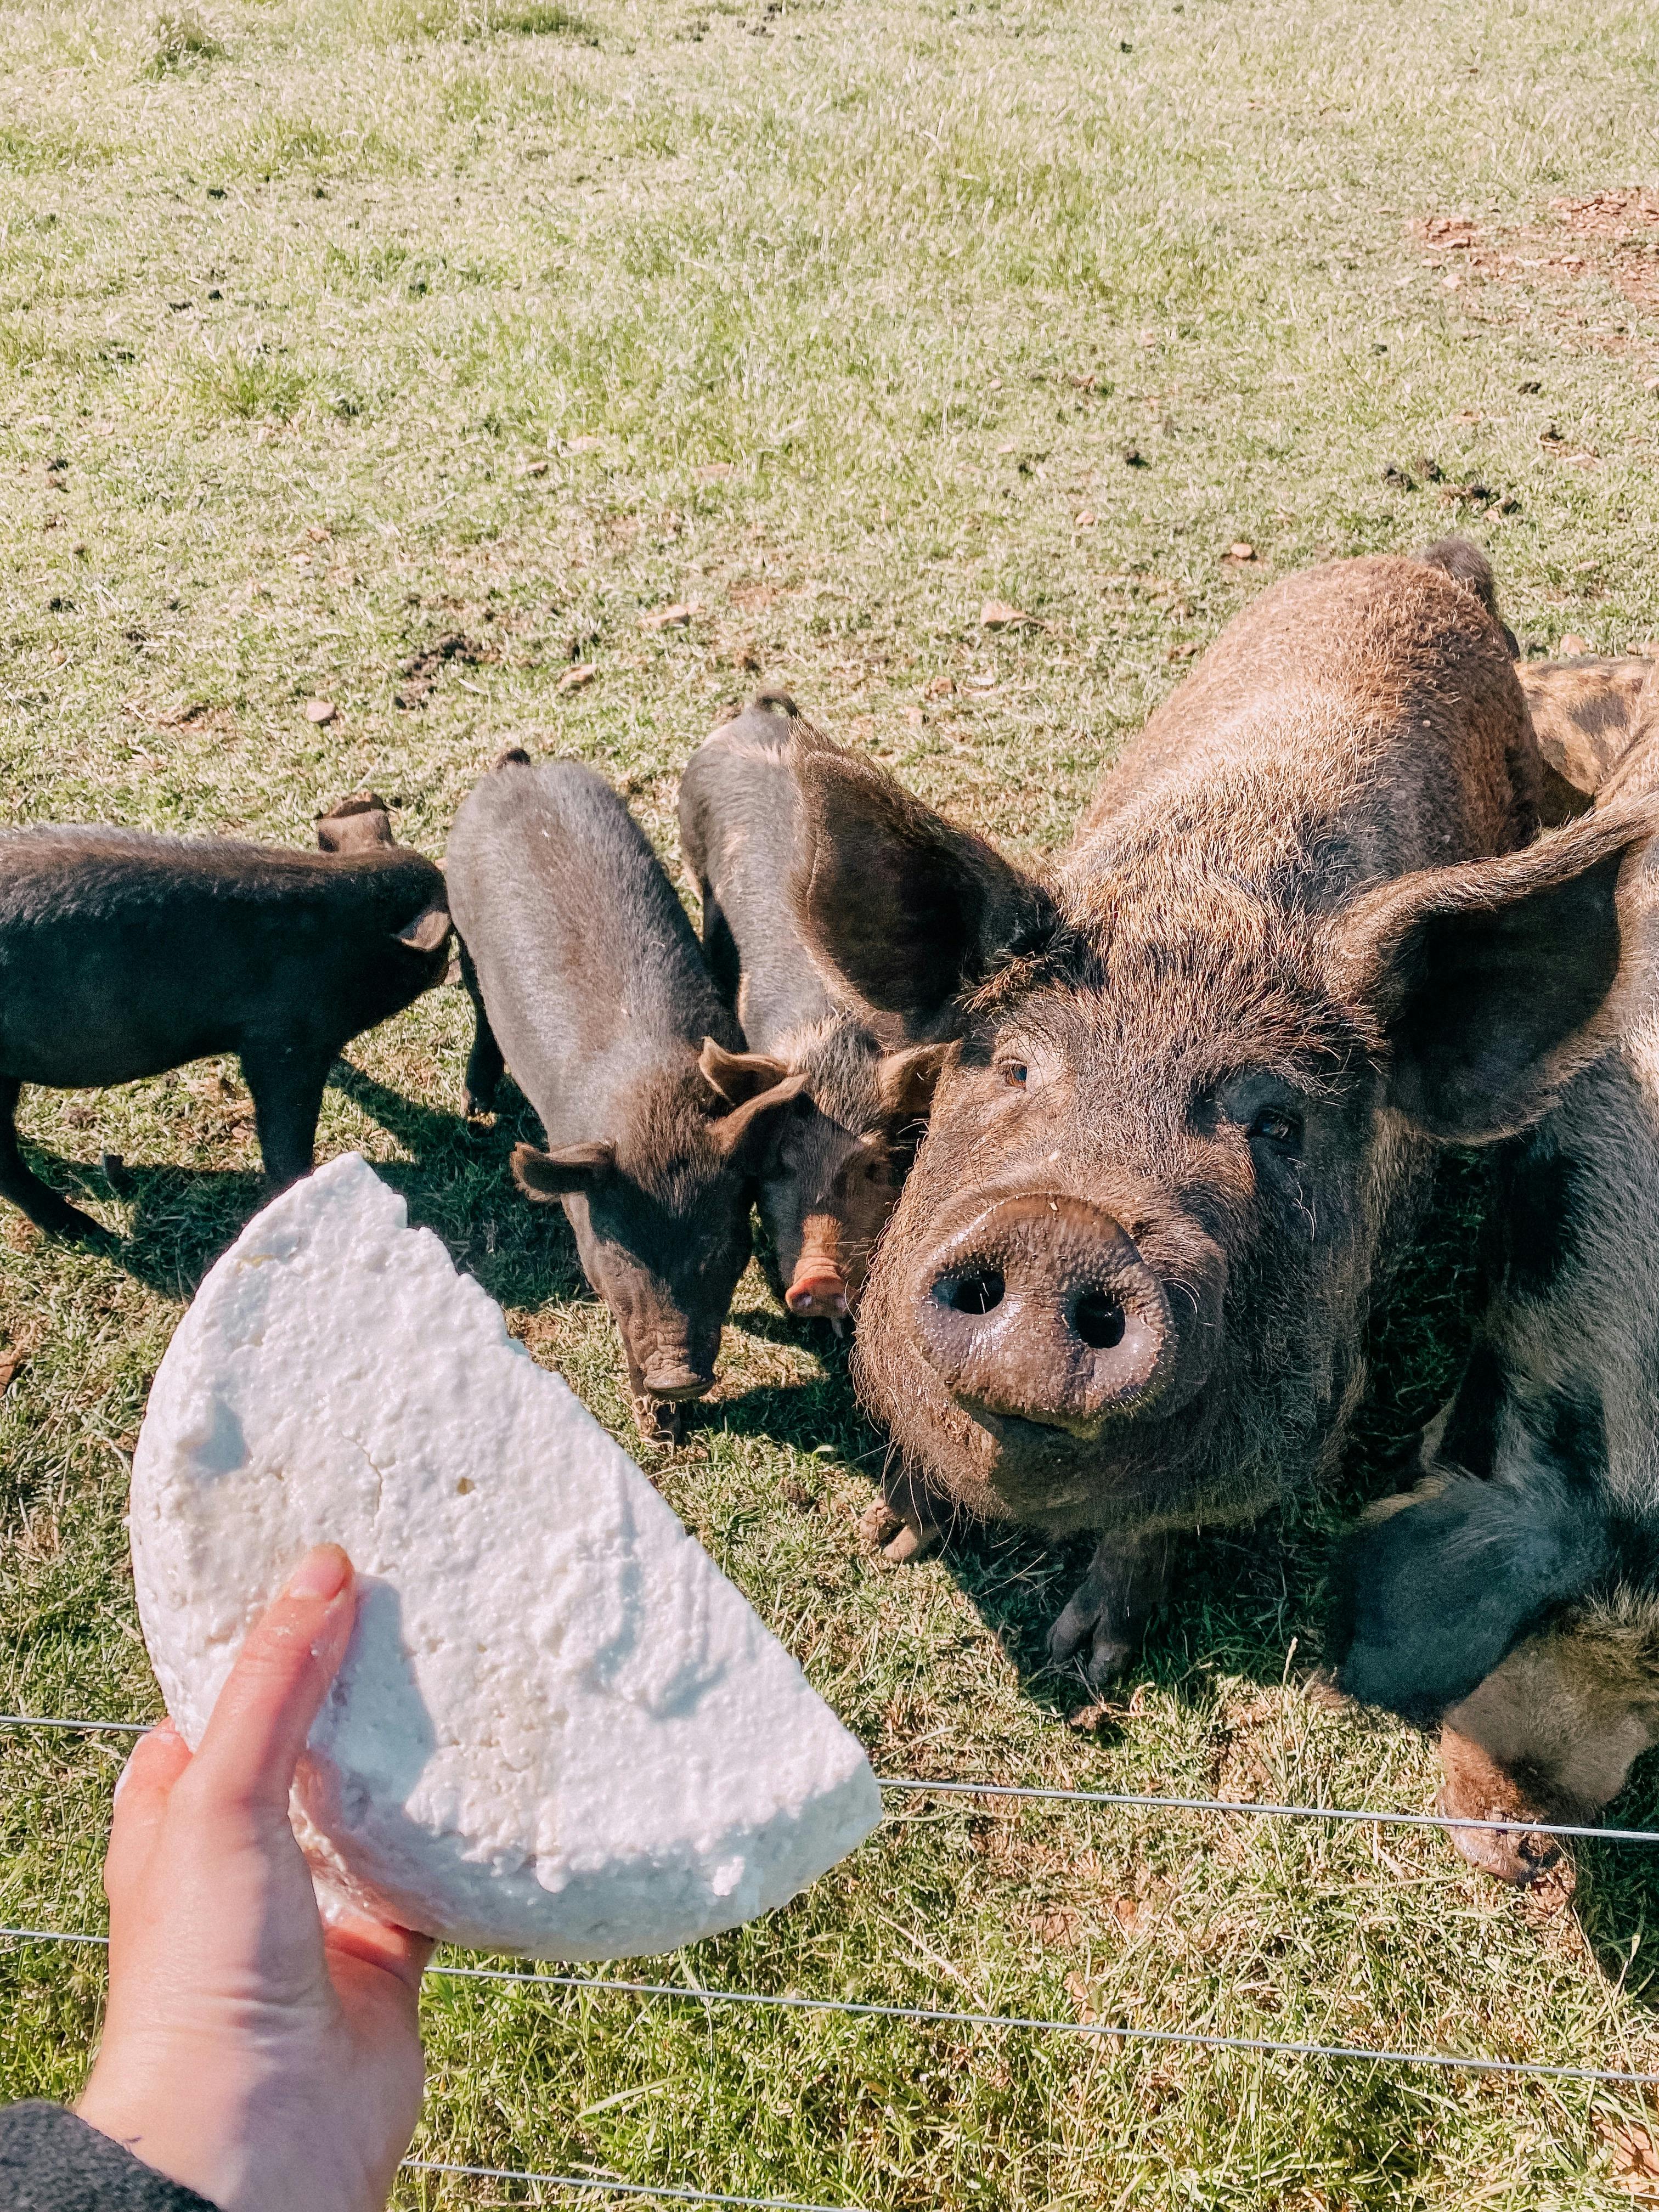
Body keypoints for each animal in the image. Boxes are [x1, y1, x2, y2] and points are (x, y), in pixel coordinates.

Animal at [444, 750, 807, 1441]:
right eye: (616, 1259)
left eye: (720, 1249)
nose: (677, 1375)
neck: (649, 1104)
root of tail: (517, 768)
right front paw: (658, 1429)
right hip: (462, 925)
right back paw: (476, 1107)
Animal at [786, 542, 1654, 1682]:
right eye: (1013, 1067)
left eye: (1275, 1125)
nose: (1063, 1228)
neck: (1209, 906)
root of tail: (1423, 565)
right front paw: (887, 1538)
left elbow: (1150, 1521)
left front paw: (1090, 1662)